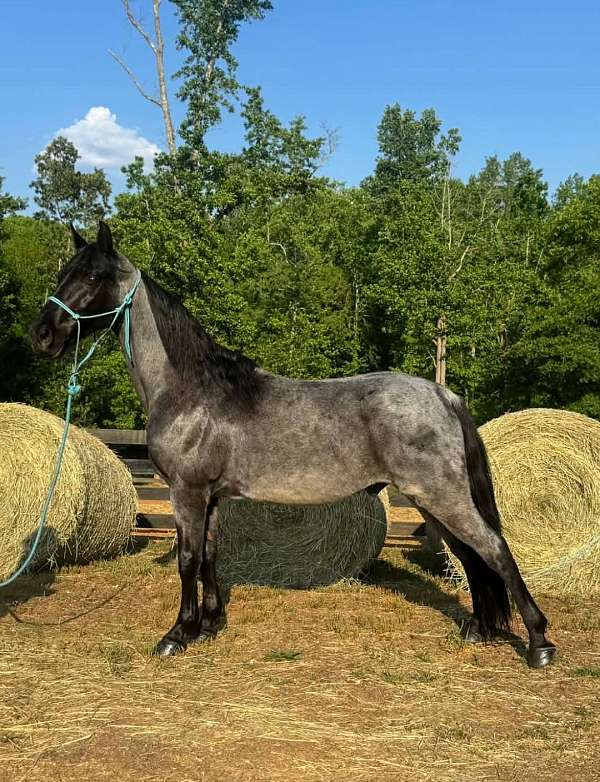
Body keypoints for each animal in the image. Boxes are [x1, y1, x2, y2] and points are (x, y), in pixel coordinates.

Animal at [30, 222, 556, 669]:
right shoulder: (211, 498)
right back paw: (479, 629)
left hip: (441, 496)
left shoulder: (187, 493)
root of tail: (442, 394)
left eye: (93, 275)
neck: (192, 389)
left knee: (494, 549)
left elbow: (186, 560)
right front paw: (209, 625)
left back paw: (538, 642)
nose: (42, 335)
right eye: (62, 271)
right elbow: (210, 557)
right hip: (432, 502)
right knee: (470, 556)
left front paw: (177, 634)